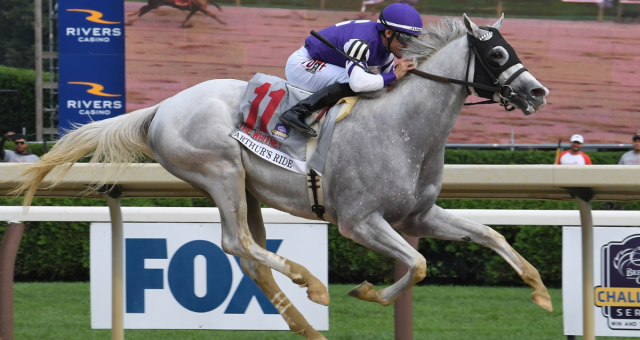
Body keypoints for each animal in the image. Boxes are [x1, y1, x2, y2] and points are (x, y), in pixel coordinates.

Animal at [17, 14, 552, 338]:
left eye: (511, 47)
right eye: (497, 55)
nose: (538, 92)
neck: (405, 128)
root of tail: (161, 107)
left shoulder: (416, 216)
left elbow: (488, 233)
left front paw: (542, 293)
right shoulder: (359, 221)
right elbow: (417, 265)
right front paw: (365, 291)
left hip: (248, 189)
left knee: (251, 257)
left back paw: (307, 324)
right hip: (221, 172)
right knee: (236, 243)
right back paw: (311, 284)